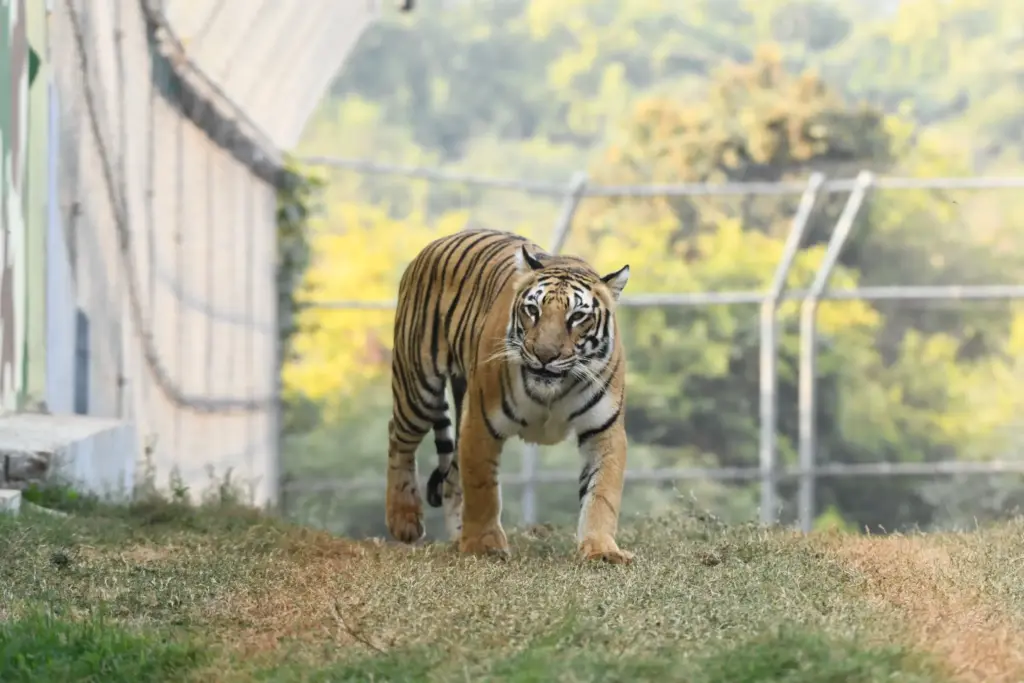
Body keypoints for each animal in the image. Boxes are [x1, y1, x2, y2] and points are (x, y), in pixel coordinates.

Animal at [385, 228, 633, 564]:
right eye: (533, 310)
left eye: (577, 317)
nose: (544, 355)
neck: (552, 392)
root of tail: (436, 243)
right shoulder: (480, 422)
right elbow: (482, 488)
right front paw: (484, 545)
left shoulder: (603, 430)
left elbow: (602, 494)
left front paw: (602, 549)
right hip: (418, 388)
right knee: (399, 439)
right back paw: (404, 519)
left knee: (450, 476)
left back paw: (457, 535)